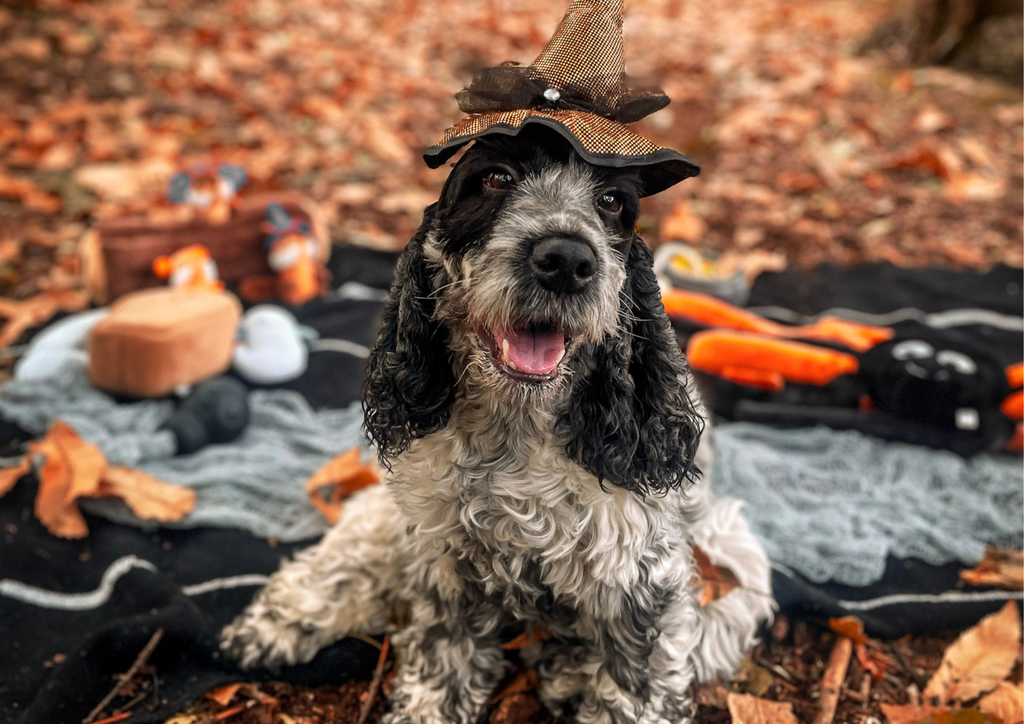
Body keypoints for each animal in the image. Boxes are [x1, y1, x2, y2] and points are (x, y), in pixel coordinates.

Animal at [220, 127, 770, 724]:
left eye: (612, 202)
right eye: (496, 177)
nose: (567, 259)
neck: (517, 433)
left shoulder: (644, 583)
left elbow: (636, 686)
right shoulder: (444, 558)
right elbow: (440, 657)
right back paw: (272, 624)